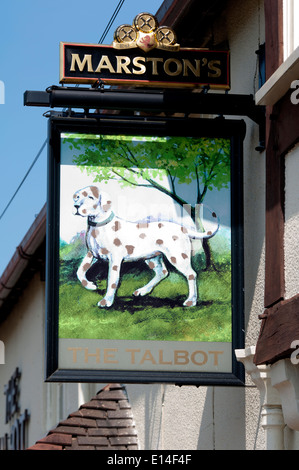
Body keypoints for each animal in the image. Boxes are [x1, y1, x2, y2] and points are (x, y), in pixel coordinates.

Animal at [72, 184, 218, 308]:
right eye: (78, 196)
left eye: (91, 197)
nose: (76, 206)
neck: (99, 227)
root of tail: (183, 228)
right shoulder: (92, 255)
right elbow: (80, 271)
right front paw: (90, 285)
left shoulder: (115, 260)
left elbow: (112, 281)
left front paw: (106, 301)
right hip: (152, 258)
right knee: (162, 272)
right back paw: (143, 290)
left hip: (178, 257)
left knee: (191, 274)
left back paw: (191, 301)